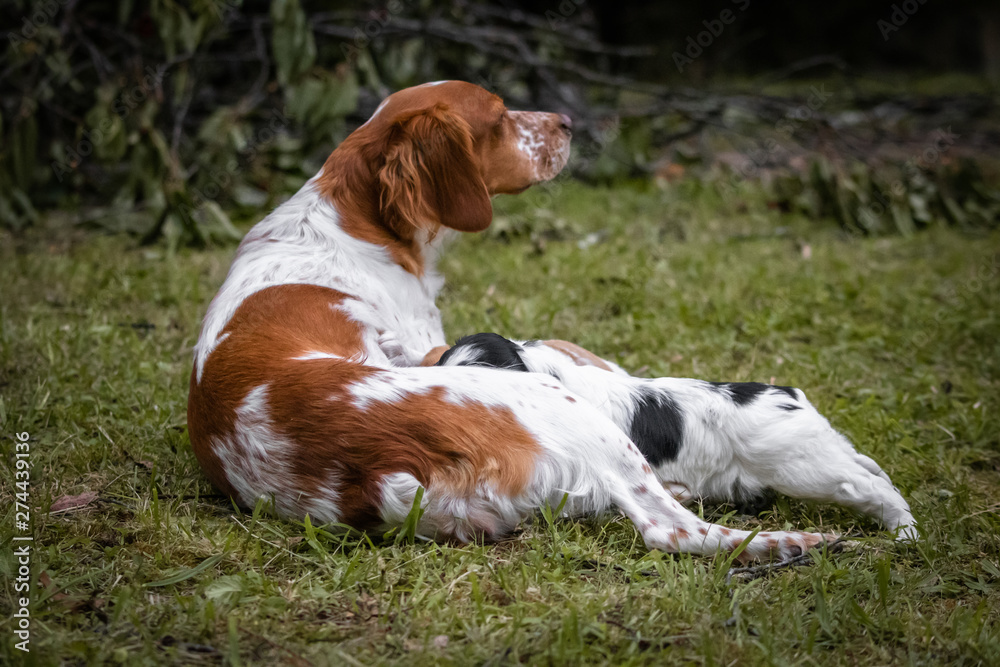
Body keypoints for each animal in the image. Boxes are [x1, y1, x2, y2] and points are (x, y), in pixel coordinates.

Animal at [188, 83, 916, 564]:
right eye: (499, 117)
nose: (567, 120)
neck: (351, 222)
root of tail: (382, 472)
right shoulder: (440, 342)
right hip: (566, 413)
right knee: (675, 530)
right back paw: (803, 540)